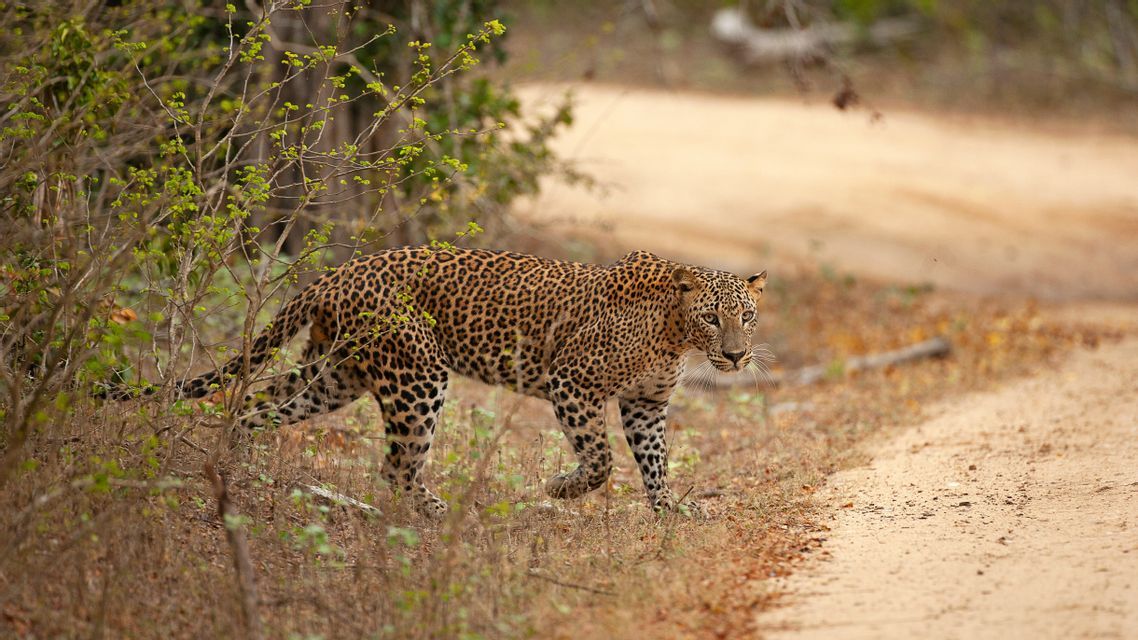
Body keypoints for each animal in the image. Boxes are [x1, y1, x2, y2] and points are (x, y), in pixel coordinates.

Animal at [132, 247, 767, 517]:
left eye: (747, 315)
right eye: (713, 318)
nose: (737, 357)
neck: (676, 333)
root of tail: (339, 271)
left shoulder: (645, 404)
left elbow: (656, 461)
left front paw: (668, 512)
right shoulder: (572, 383)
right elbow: (600, 460)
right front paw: (561, 489)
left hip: (334, 373)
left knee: (255, 406)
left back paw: (232, 465)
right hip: (417, 374)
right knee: (395, 465)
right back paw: (439, 509)